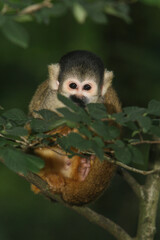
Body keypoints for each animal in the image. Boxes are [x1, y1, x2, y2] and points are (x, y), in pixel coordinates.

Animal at [29, 50, 121, 204]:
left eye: (87, 87)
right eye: (72, 85)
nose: (78, 98)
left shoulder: (100, 104)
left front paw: (72, 130)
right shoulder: (51, 99)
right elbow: (37, 130)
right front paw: (63, 130)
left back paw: (81, 171)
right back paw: (48, 175)